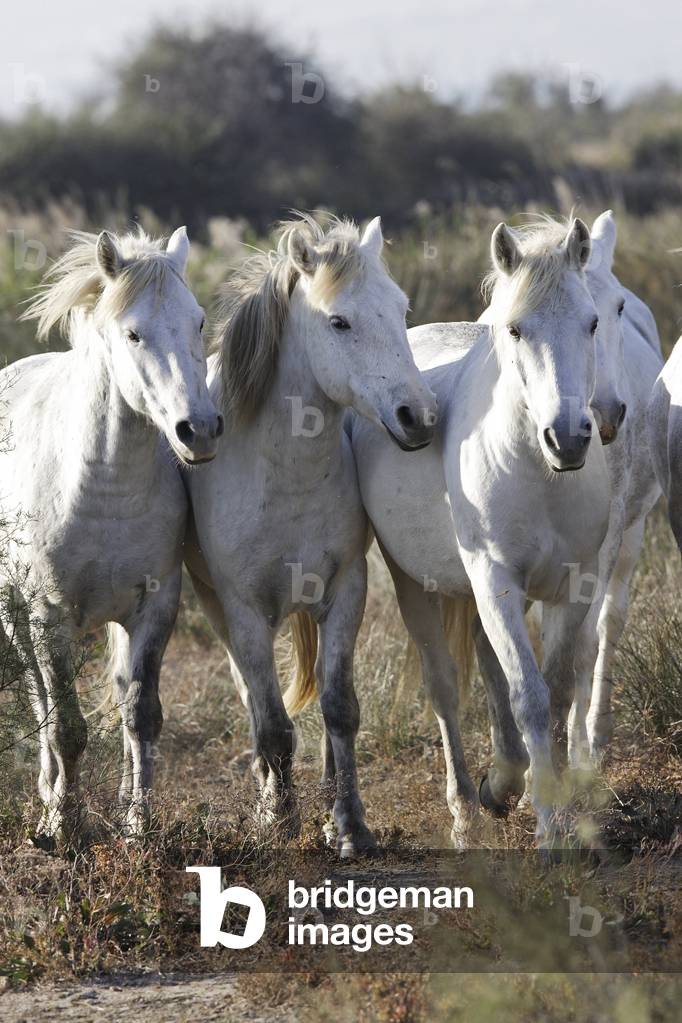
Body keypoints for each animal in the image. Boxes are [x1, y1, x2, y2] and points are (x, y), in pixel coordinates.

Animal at [0, 227, 222, 843]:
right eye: (133, 333)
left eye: (198, 320)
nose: (199, 430)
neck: (102, 487)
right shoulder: (50, 615)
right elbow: (66, 726)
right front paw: (61, 824)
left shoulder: (155, 606)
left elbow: (141, 715)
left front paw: (138, 825)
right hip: (14, 613)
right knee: (38, 696)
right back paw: (47, 792)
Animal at [182, 213, 437, 856]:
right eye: (339, 321)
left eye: (401, 309)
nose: (419, 418)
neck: (285, 475)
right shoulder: (244, 611)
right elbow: (273, 724)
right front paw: (280, 817)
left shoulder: (346, 589)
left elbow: (340, 708)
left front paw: (349, 825)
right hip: (218, 612)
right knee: (254, 703)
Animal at [346, 216, 611, 847]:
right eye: (515, 329)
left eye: (592, 322)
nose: (568, 438)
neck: (541, 476)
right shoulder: (495, 579)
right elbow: (530, 697)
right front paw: (549, 832)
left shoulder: (576, 584)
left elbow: (555, 689)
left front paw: (549, 796)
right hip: (418, 585)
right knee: (445, 686)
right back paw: (466, 812)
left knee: (490, 663)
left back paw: (504, 780)